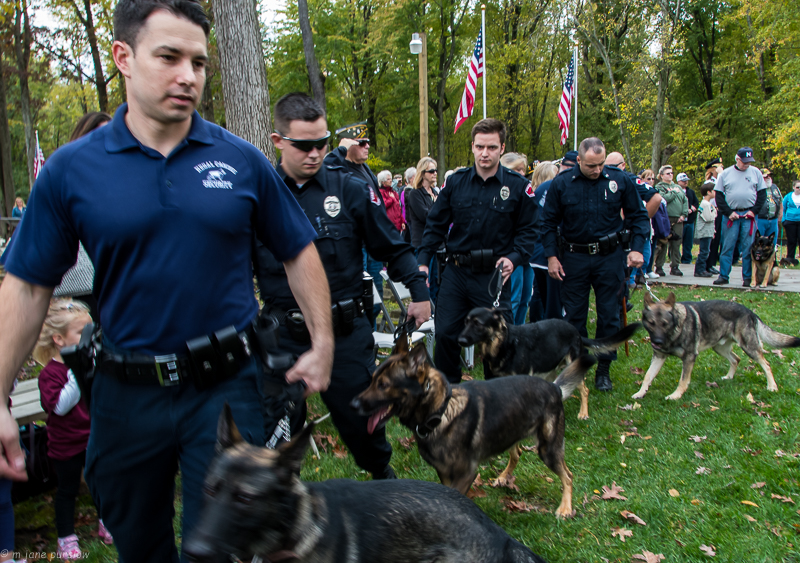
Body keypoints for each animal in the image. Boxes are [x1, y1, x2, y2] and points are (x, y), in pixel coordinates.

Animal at [350, 340, 592, 520]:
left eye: (383, 385)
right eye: (372, 380)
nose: (352, 405)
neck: (439, 411)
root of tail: (553, 387)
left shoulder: (466, 473)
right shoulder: (445, 473)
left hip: (547, 449)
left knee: (568, 475)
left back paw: (565, 508)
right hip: (510, 432)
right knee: (517, 453)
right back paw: (503, 477)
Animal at [460, 308, 640, 418]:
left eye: (478, 324)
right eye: (466, 322)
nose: (459, 340)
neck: (504, 343)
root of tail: (576, 332)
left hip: (572, 364)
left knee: (585, 390)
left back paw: (583, 413)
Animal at [632, 290, 800, 400]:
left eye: (665, 324)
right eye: (651, 323)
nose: (657, 342)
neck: (675, 330)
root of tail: (749, 311)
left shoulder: (689, 358)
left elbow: (683, 380)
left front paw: (676, 395)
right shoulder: (659, 357)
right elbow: (647, 376)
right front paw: (641, 393)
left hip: (749, 347)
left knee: (766, 364)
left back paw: (772, 386)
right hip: (719, 347)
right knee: (736, 359)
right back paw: (729, 377)